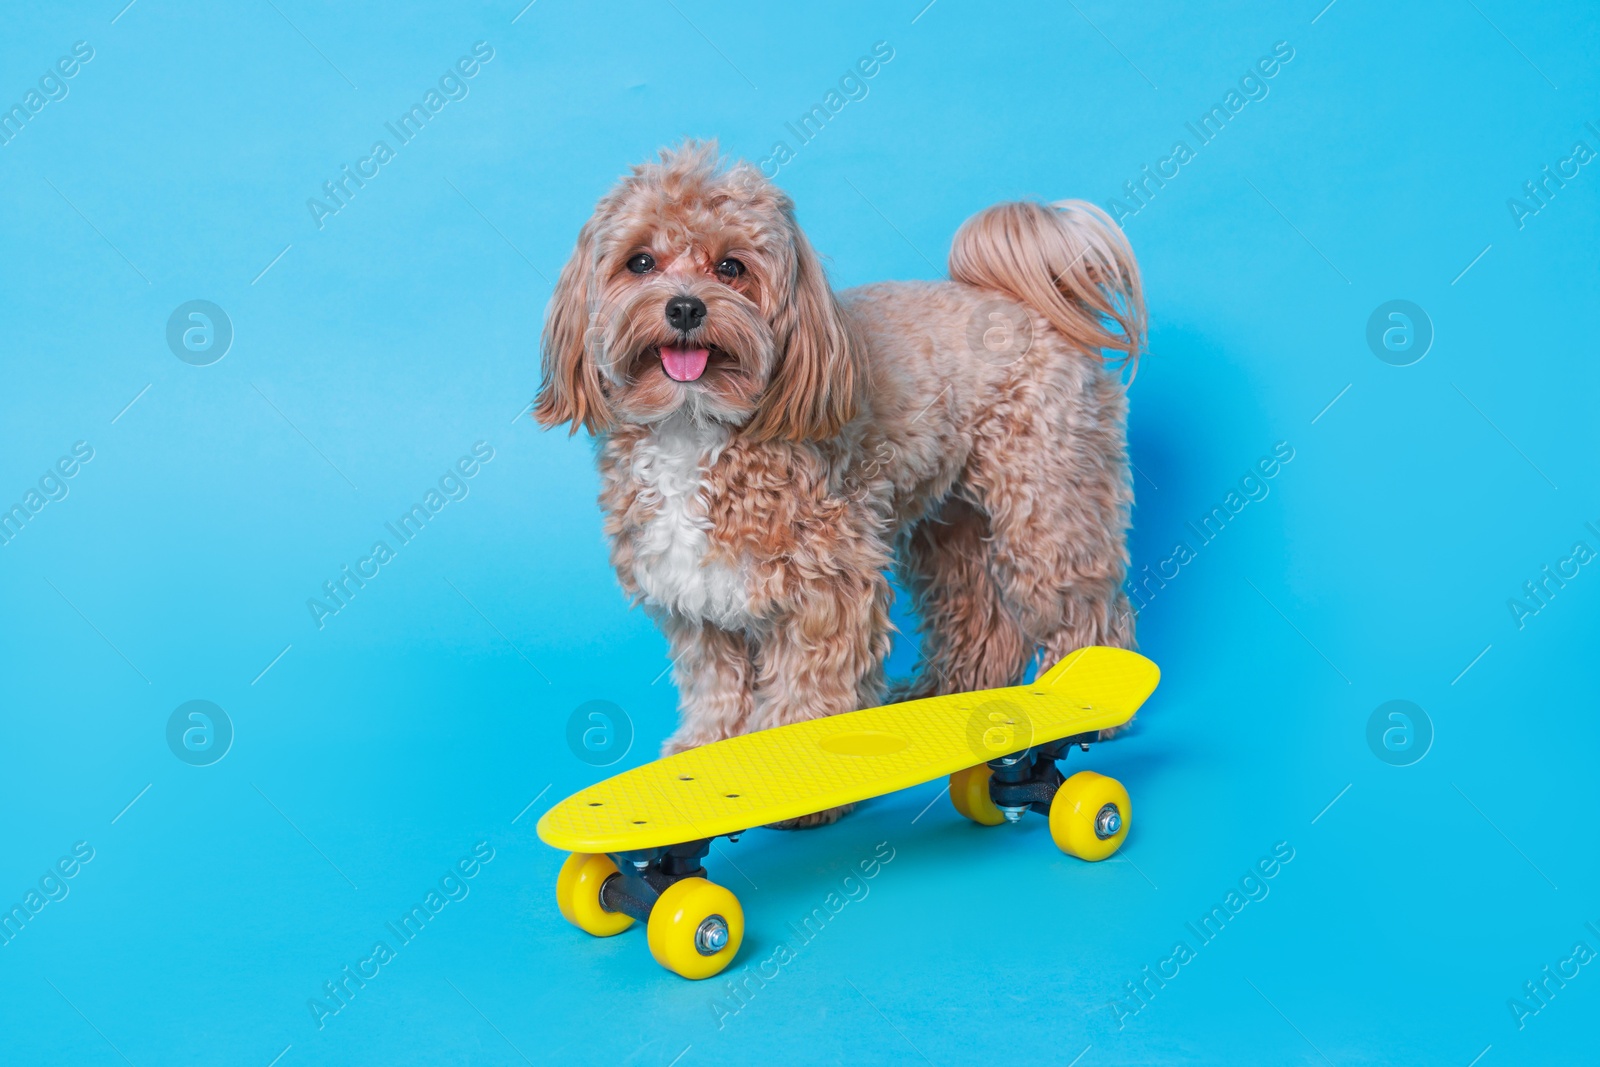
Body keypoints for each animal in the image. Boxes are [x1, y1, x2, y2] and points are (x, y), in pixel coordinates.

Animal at [540, 146, 1152, 819]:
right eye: (640, 262)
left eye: (731, 267)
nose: (684, 307)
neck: (696, 427)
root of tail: (1028, 302)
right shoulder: (695, 595)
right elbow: (715, 680)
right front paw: (708, 754)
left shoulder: (826, 585)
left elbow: (809, 683)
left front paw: (797, 785)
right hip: (951, 525)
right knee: (978, 609)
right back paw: (950, 690)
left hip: (1047, 505)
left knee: (1084, 605)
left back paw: (1089, 710)